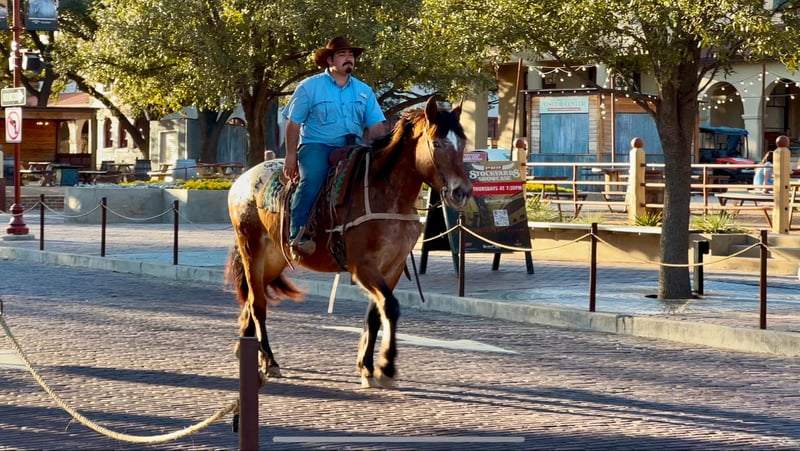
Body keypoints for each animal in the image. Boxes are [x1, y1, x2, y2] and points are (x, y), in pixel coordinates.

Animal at [225, 97, 473, 388]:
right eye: (437, 143)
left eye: (463, 143)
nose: (461, 192)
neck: (387, 193)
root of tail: (243, 179)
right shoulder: (362, 266)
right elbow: (390, 306)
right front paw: (386, 367)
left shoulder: (393, 267)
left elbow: (377, 314)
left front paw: (367, 367)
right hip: (252, 248)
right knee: (258, 304)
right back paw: (269, 360)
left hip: (274, 259)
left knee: (254, 299)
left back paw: (247, 348)